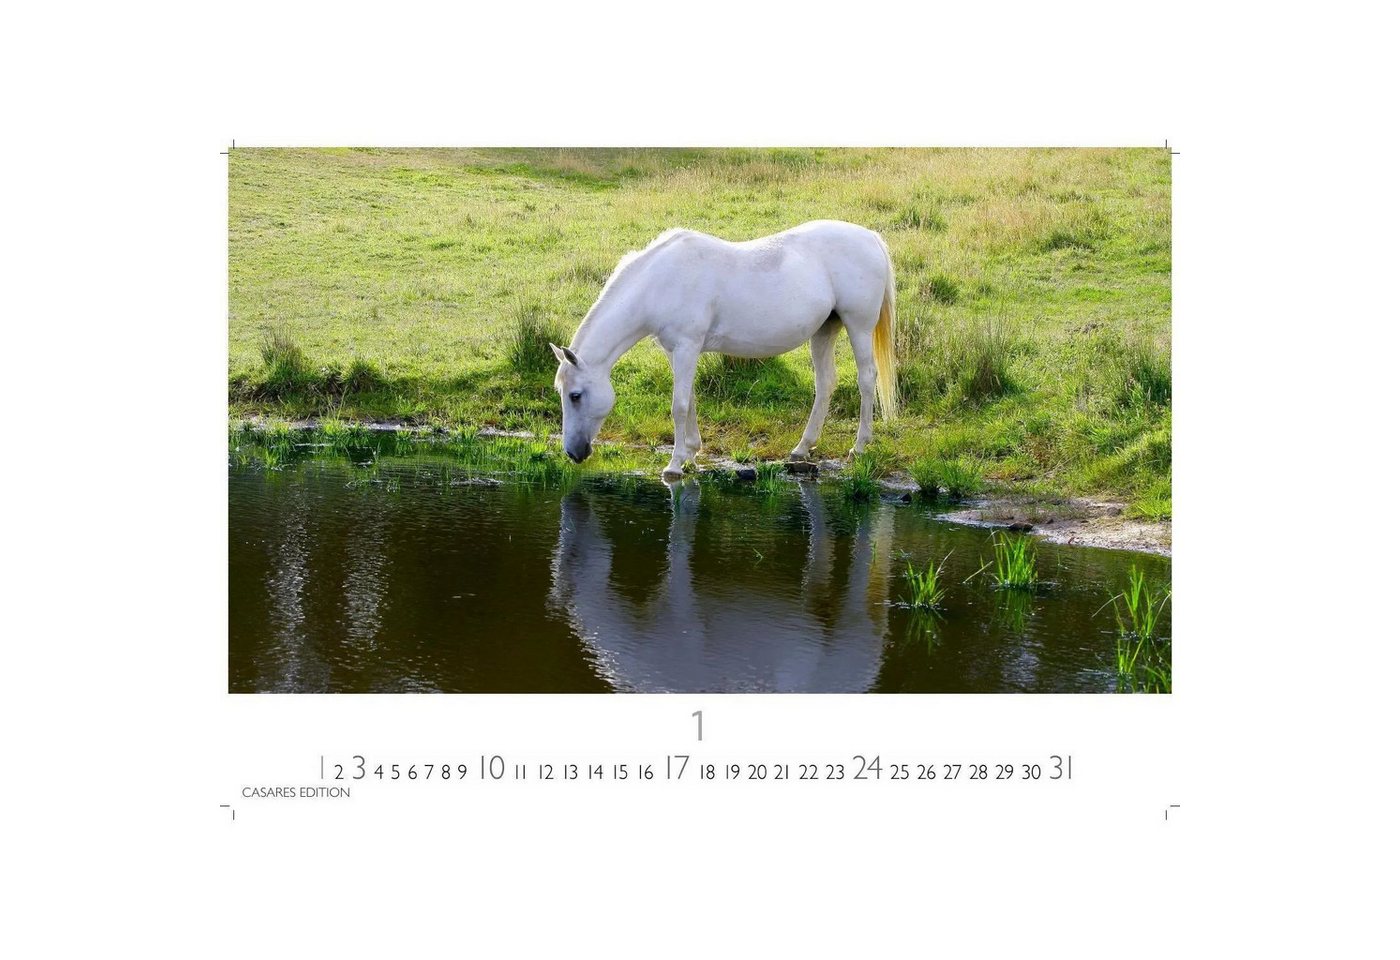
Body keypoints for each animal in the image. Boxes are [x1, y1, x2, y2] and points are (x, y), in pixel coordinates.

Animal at [551, 219, 897, 480]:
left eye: (575, 395)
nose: (573, 452)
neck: (660, 281)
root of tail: (870, 237)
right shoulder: (676, 351)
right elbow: (689, 399)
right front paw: (691, 452)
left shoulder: (687, 347)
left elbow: (679, 405)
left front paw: (674, 465)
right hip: (825, 330)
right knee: (825, 383)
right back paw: (802, 448)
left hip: (858, 326)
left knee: (866, 379)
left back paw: (859, 447)